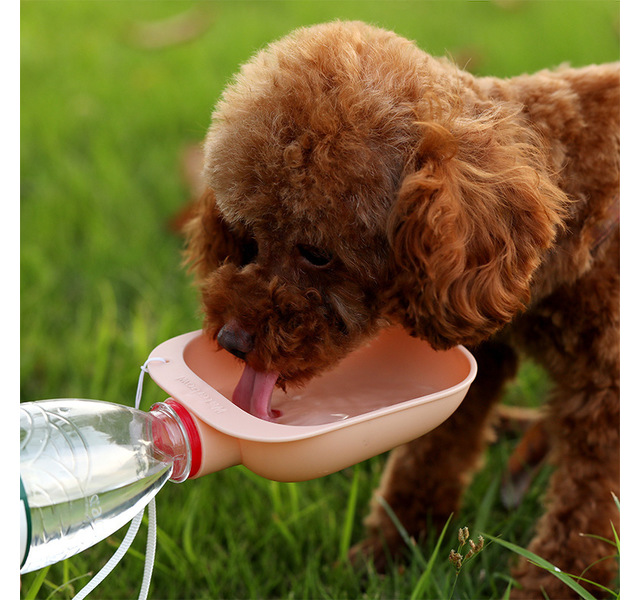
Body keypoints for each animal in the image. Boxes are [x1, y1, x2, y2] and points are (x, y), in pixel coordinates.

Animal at [185, 21, 620, 596]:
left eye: (318, 253)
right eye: (247, 239)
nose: (231, 341)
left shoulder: (607, 395)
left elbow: (585, 510)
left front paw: (554, 586)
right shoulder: (482, 354)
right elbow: (429, 454)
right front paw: (389, 552)